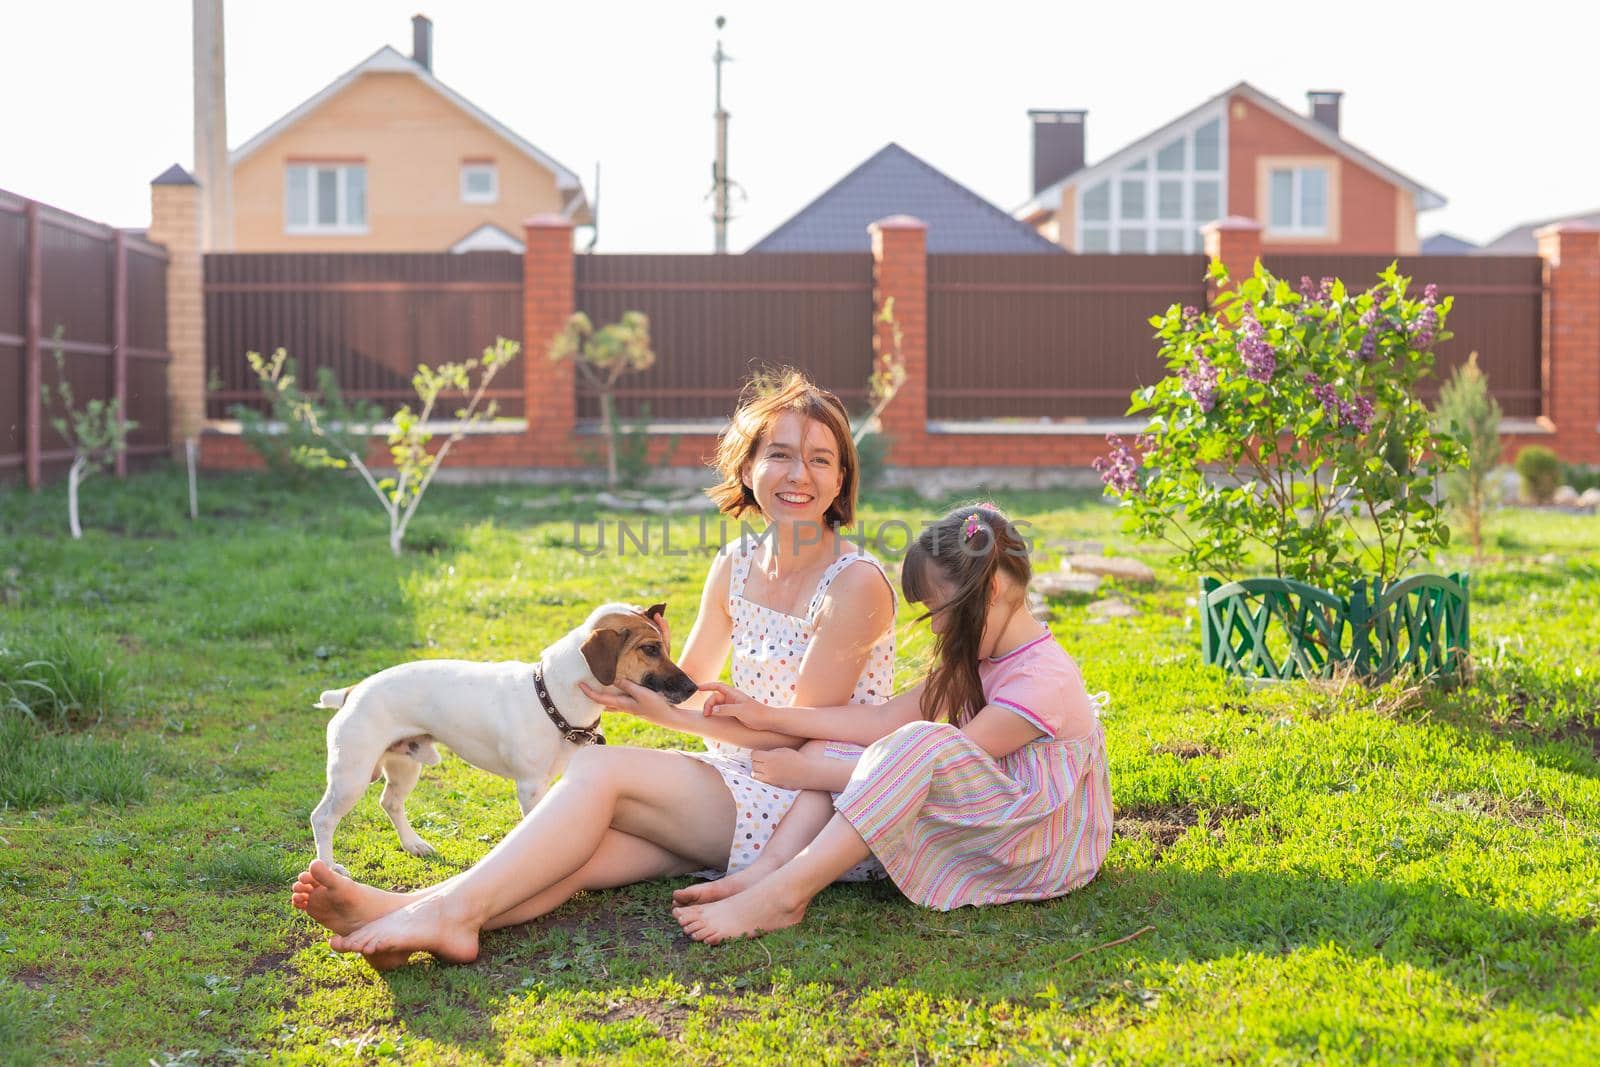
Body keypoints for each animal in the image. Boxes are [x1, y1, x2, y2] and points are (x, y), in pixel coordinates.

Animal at [305, 604, 694, 870]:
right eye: (650, 649)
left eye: (666, 647)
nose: (693, 688)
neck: (550, 697)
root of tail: (352, 691)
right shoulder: (530, 786)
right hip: (352, 776)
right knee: (322, 818)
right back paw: (329, 868)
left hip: (405, 766)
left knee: (390, 803)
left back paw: (414, 844)